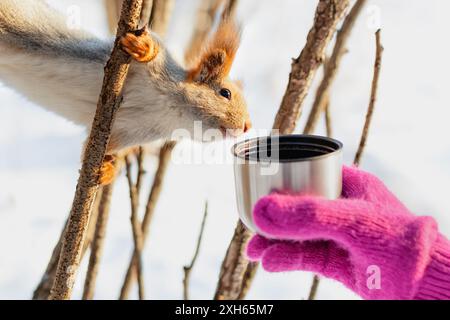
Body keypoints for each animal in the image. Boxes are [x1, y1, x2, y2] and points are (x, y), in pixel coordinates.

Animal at [0, 0, 251, 184]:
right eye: (225, 93)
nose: (247, 126)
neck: (170, 110)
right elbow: (153, 49)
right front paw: (144, 48)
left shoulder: (128, 133)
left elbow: (95, 149)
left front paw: (108, 170)